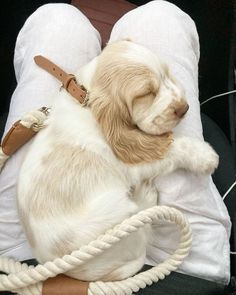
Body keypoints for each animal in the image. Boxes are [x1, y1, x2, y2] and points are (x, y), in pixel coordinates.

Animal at [17, 40, 218, 282]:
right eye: (147, 93)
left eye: (167, 74)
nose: (185, 108)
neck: (88, 101)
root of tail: (74, 272)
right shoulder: (133, 165)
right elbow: (174, 148)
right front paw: (206, 156)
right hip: (120, 216)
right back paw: (146, 196)